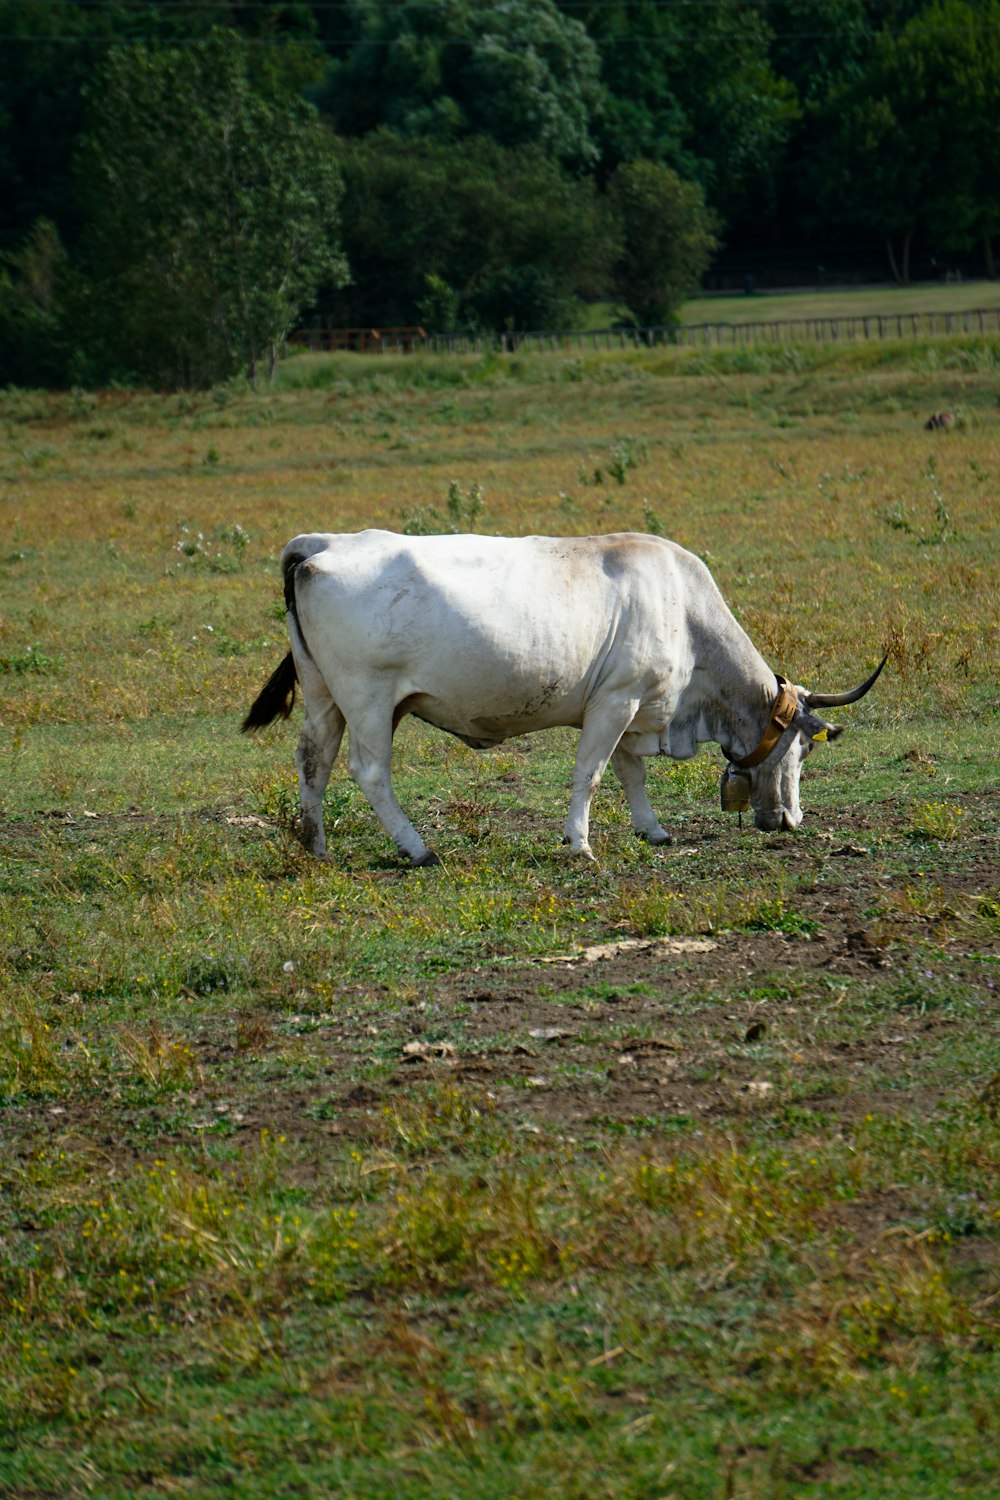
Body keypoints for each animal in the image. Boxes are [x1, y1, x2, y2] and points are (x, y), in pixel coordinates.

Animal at [242, 534, 881, 870]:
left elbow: (630, 774)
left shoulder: (626, 707)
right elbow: (592, 775)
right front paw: (581, 842)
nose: (791, 821)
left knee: (314, 762)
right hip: (369, 698)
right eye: (802, 751)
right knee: (370, 771)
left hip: (324, 696)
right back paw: (417, 847)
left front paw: (653, 830)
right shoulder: (616, 702)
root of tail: (323, 544)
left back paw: (316, 846)